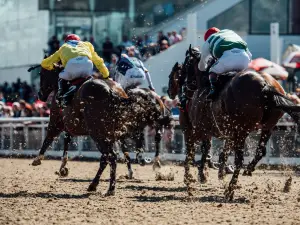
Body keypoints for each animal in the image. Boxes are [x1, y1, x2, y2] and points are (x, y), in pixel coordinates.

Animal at [31, 65, 172, 195]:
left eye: (41, 74)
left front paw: (40, 159)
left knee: (110, 155)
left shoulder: (58, 121)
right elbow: (67, 140)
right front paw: (63, 168)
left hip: (98, 134)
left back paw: (105, 186)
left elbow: (50, 137)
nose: (40, 95)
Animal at [168, 47, 300, 200]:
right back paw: (247, 170)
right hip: (267, 127)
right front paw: (214, 173)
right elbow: (218, 153)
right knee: (260, 151)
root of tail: (265, 85)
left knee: (239, 159)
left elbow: (193, 153)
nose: (170, 92)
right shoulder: (226, 132)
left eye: (175, 73)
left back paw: (230, 190)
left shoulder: (196, 130)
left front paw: (192, 178)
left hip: (242, 131)